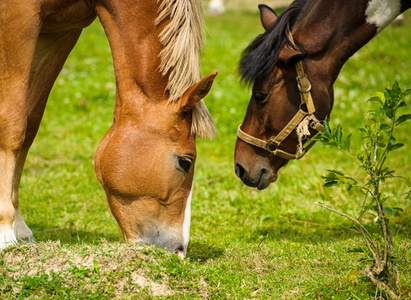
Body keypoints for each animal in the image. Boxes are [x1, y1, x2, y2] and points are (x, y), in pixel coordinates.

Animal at [0, 0, 217, 258]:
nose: (180, 251)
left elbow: (30, 124)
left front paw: (20, 227)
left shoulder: (60, 33)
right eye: (186, 162)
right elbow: (13, 124)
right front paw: (5, 232)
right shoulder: (18, 18)